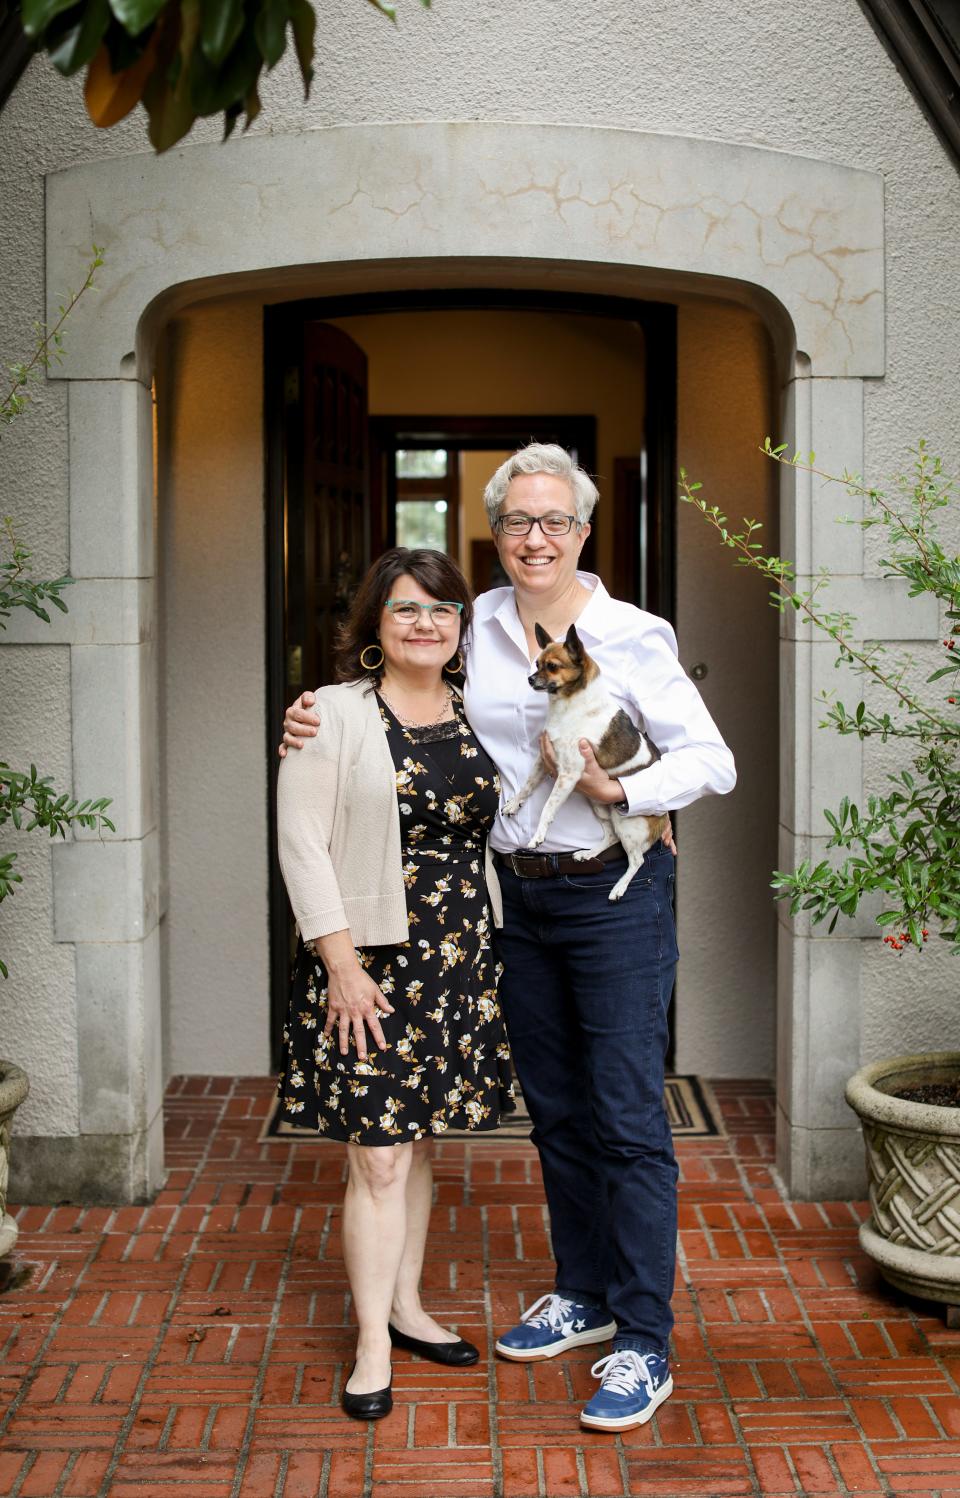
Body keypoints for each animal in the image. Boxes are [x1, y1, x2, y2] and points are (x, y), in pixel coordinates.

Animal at [503, 623, 664, 898]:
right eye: (537, 664)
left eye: (552, 666)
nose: (530, 679)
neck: (568, 707)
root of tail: (665, 817)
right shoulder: (544, 761)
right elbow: (527, 786)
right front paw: (514, 804)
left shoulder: (568, 775)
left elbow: (547, 808)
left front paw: (538, 836)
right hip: (600, 806)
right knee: (610, 836)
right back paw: (588, 854)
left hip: (627, 821)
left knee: (636, 860)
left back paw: (619, 888)